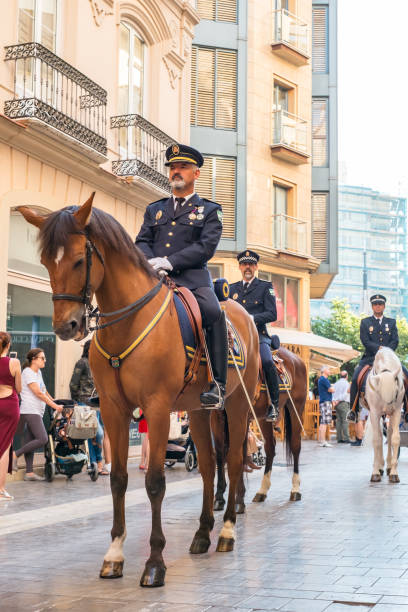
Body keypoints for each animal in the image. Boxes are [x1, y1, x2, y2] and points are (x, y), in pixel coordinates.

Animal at [19, 196, 258, 588]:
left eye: (79, 260)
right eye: (45, 262)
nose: (67, 326)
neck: (128, 322)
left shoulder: (157, 408)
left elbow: (155, 482)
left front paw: (155, 562)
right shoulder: (114, 409)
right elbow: (118, 479)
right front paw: (114, 555)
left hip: (236, 405)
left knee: (234, 461)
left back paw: (225, 533)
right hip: (198, 411)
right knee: (208, 465)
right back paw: (202, 533)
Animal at [214, 350, 306, 512]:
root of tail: (297, 360)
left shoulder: (242, 417)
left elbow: (239, 454)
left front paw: (238, 500)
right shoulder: (216, 418)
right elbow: (220, 454)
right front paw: (219, 498)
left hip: (296, 409)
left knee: (296, 446)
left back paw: (295, 489)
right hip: (263, 418)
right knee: (270, 448)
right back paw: (262, 491)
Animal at [364, 350, 404, 482]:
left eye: (395, 393)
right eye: (379, 393)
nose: (387, 410)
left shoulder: (396, 411)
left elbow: (395, 439)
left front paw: (394, 473)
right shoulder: (374, 412)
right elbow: (377, 439)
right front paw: (375, 472)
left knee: (389, 434)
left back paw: (388, 466)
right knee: (380, 436)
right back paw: (380, 466)